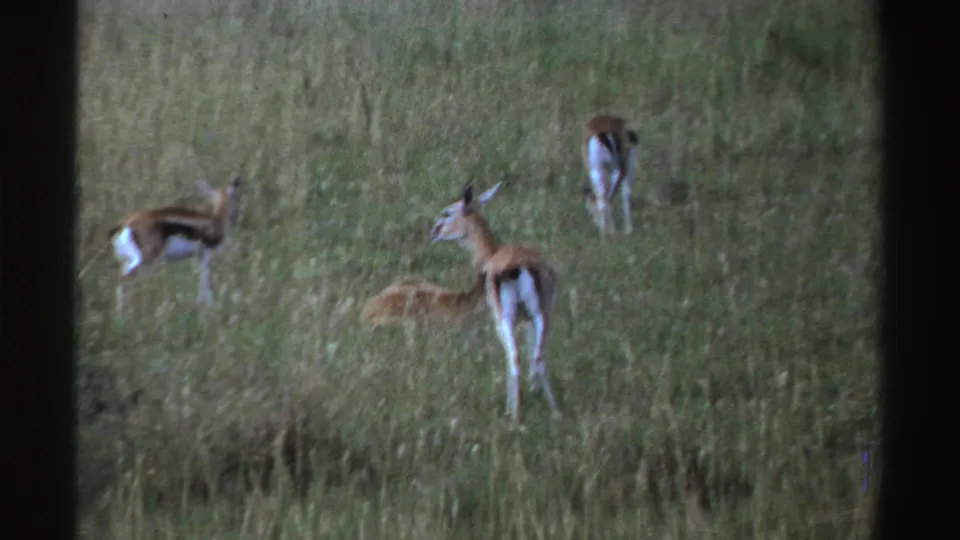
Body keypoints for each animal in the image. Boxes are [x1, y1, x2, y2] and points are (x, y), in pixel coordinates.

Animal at [107, 175, 241, 317]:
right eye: (236, 197)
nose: (237, 214)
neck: (216, 220)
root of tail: (126, 224)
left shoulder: (198, 257)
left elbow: (201, 280)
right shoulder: (206, 254)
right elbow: (206, 280)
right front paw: (211, 309)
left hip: (128, 261)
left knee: (121, 284)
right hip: (146, 260)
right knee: (125, 281)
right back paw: (124, 317)